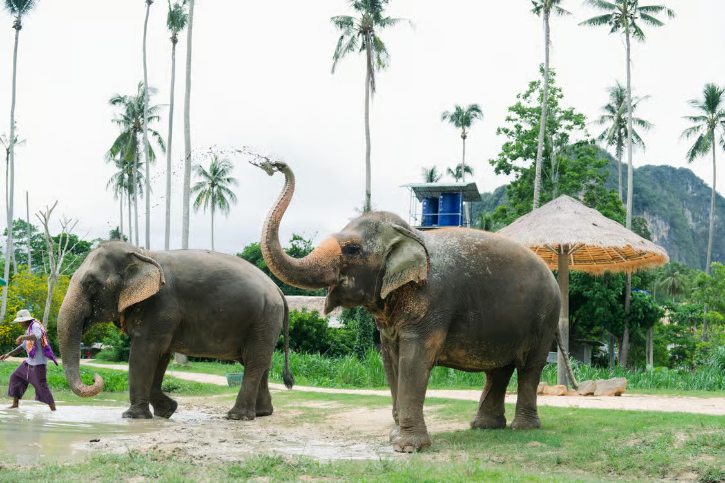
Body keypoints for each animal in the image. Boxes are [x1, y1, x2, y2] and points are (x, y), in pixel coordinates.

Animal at [57, 241, 293, 420]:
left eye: (91, 283)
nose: (95, 377)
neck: (143, 254)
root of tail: (278, 289)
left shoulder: (160, 306)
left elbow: (145, 352)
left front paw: (132, 416)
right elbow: (161, 355)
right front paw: (167, 411)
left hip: (264, 318)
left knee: (254, 362)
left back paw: (236, 416)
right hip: (264, 321)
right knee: (259, 362)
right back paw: (262, 413)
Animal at [253, 160, 561, 453]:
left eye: (352, 249)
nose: (276, 165)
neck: (411, 235)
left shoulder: (433, 302)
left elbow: (415, 358)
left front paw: (407, 447)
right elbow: (391, 359)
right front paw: (394, 436)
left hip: (546, 317)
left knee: (529, 366)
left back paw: (523, 428)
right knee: (499, 369)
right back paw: (484, 426)